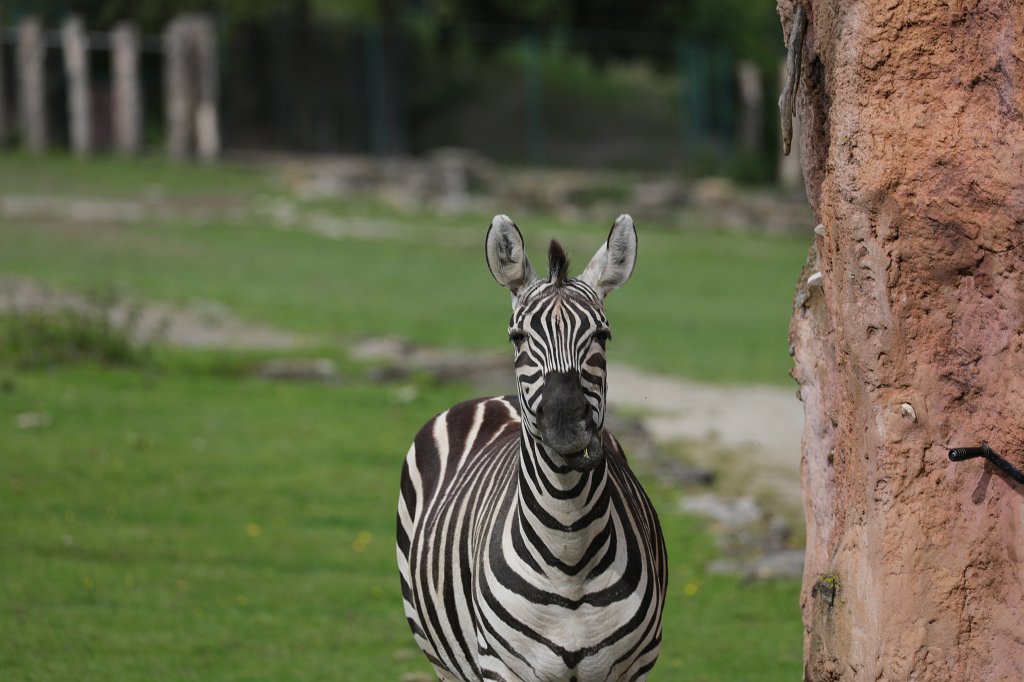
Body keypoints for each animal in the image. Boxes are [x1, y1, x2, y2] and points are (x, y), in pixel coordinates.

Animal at [396, 214, 667, 681]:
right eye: (518, 337)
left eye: (602, 335)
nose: (566, 426)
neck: (570, 553)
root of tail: (495, 397)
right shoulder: (502, 667)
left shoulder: (634, 669)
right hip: (439, 654)